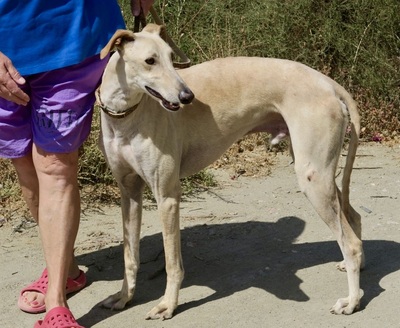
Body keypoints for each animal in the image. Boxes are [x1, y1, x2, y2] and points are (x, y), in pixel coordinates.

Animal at [96, 25, 362, 320]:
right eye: (150, 61)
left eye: (170, 57)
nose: (187, 97)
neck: (126, 117)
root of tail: (328, 83)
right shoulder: (129, 192)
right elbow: (130, 256)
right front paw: (124, 298)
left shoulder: (167, 197)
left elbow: (172, 263)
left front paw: (168, 305)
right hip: (320, 173)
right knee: (354, 217)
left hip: (313, 178)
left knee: (350, 242)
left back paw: (351, 300)